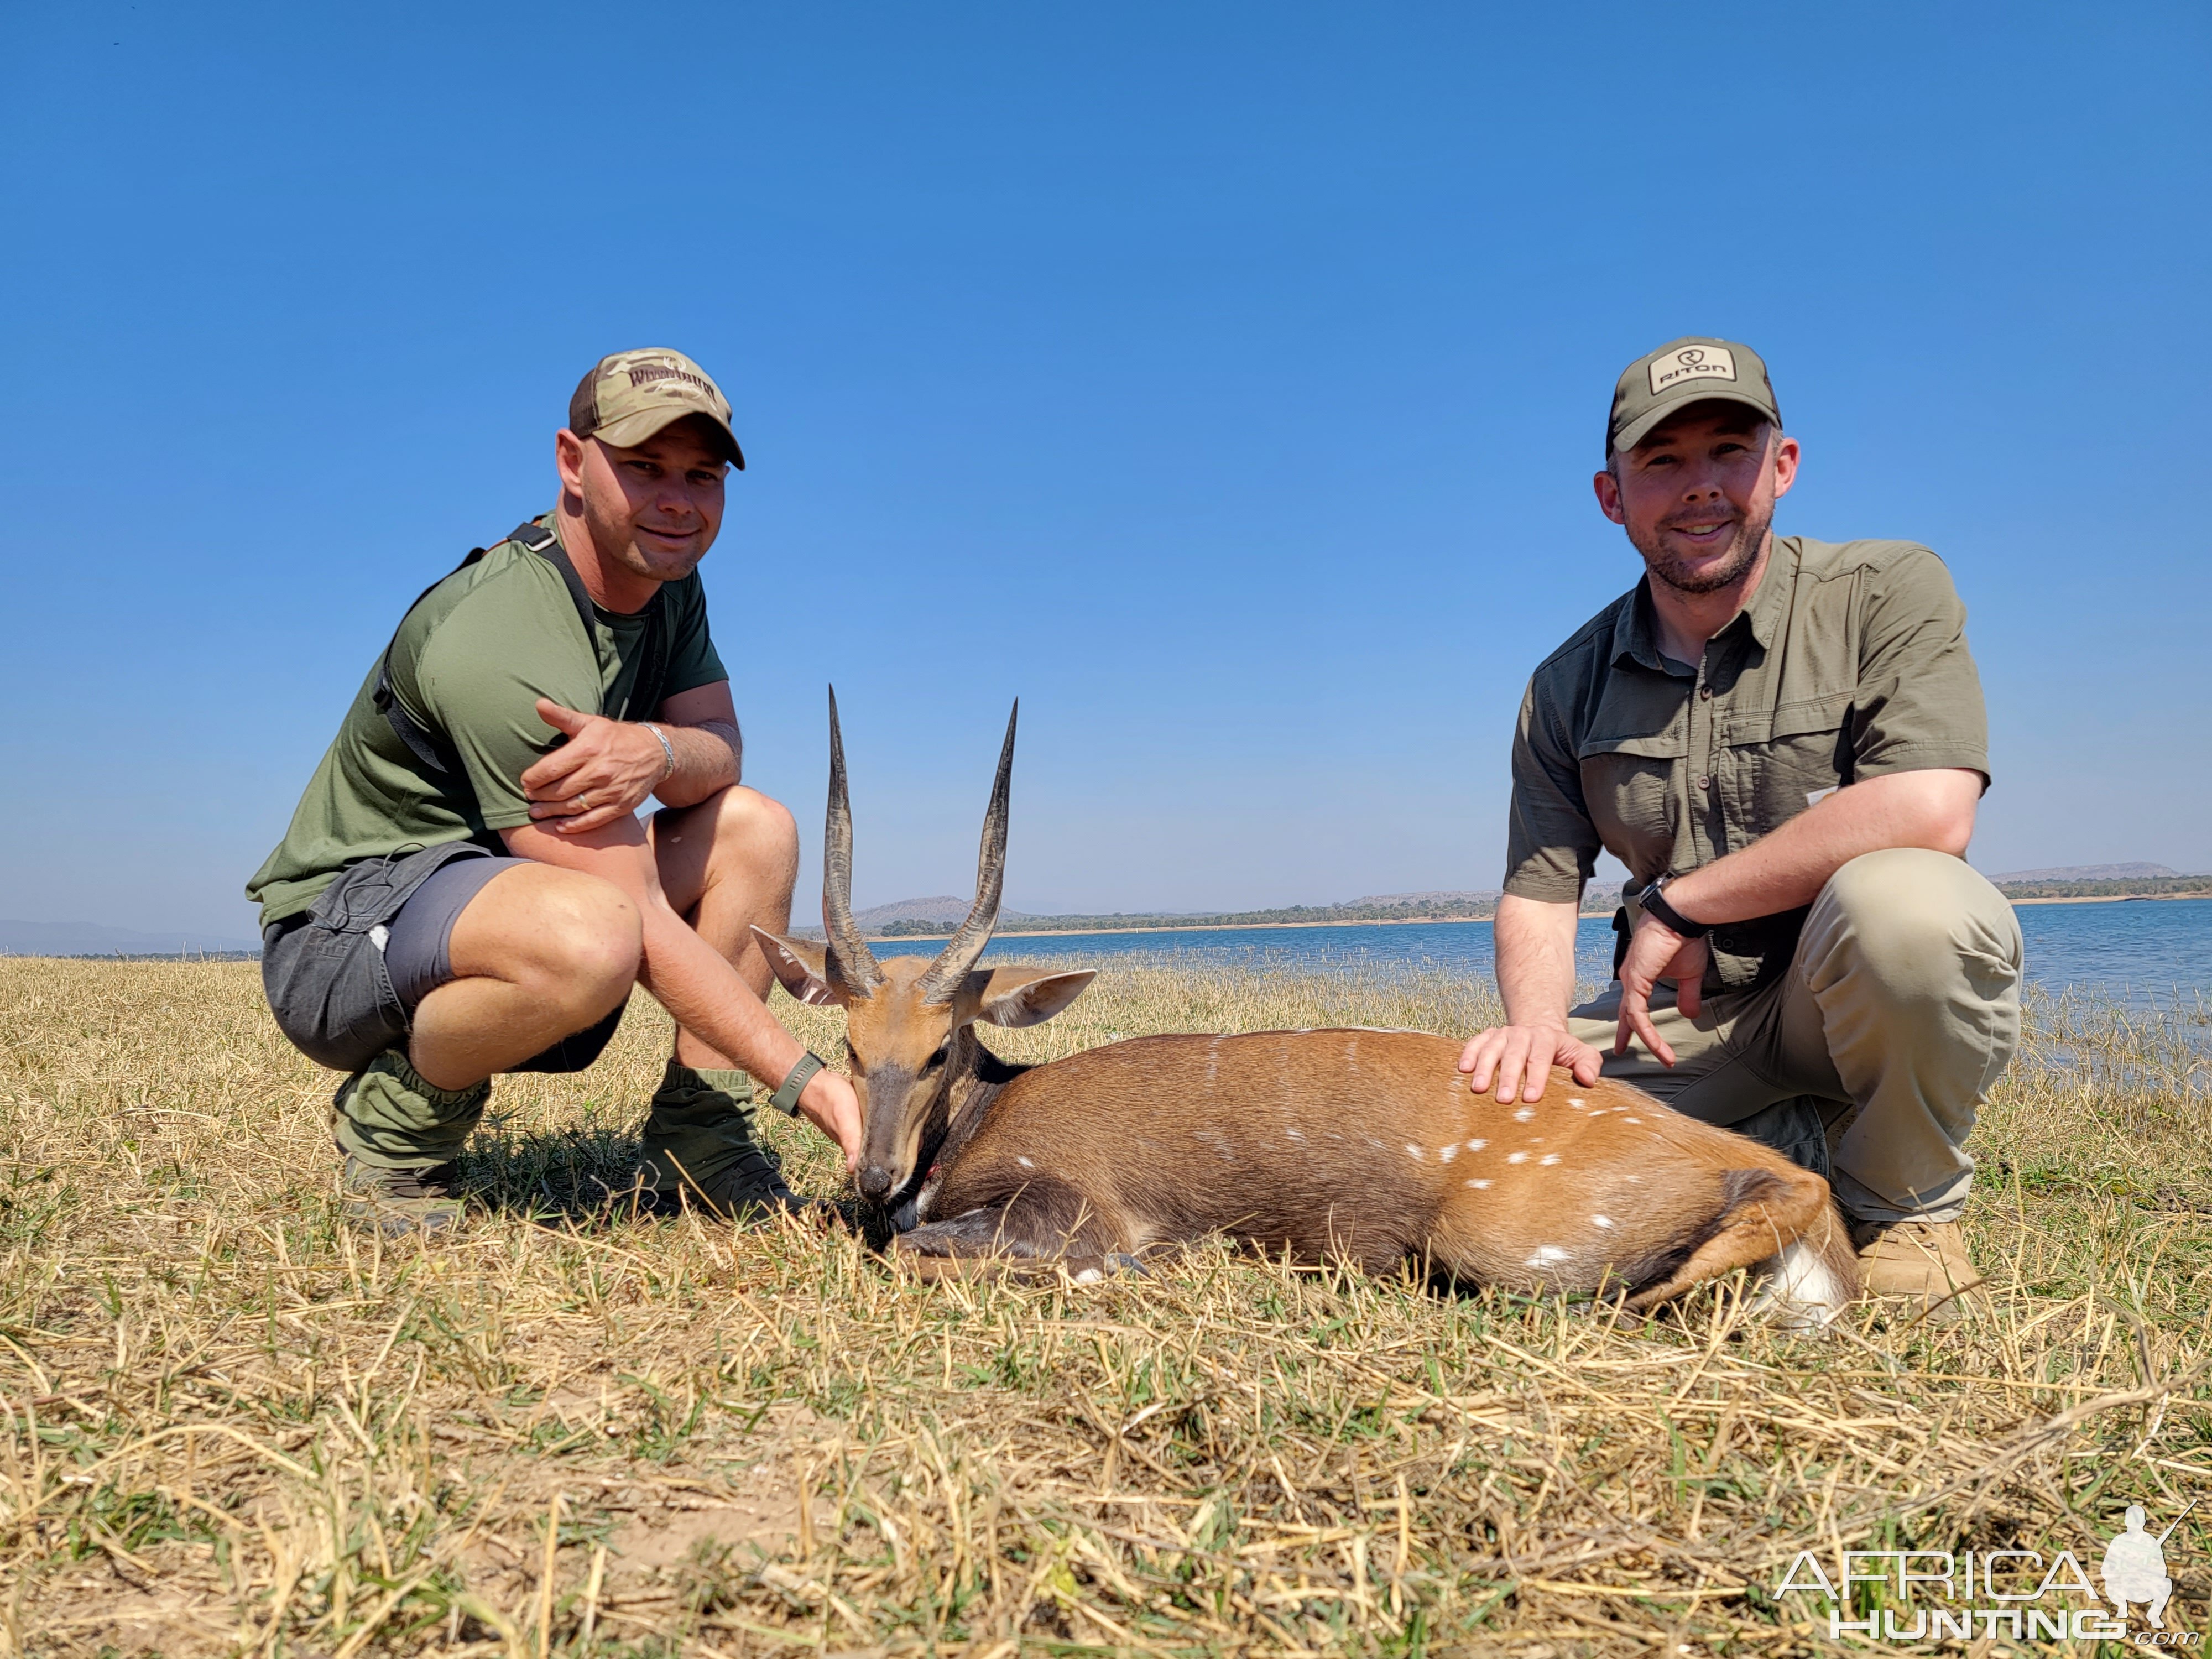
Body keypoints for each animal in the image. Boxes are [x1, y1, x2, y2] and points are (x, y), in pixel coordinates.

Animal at [752, 690, 1858, 1327]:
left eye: (943, 1049)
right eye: (847, 1043)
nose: (874, 1175)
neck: (990, 1118)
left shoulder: (1072, 1209)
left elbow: (930, 1253)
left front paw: (1137, 1275)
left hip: (1502, 1241)